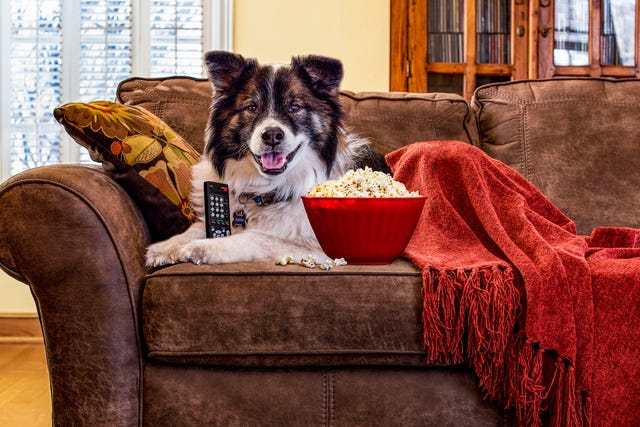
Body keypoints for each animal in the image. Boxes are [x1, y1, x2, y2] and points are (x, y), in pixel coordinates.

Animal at [145, 51, 384, 268]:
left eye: (294, 106)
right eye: (252, 107)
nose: (272, 135)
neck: (266, 190)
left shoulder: (319, 248)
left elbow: (256, 236)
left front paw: (203, 247)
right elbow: (197, 226)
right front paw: (167, 246)